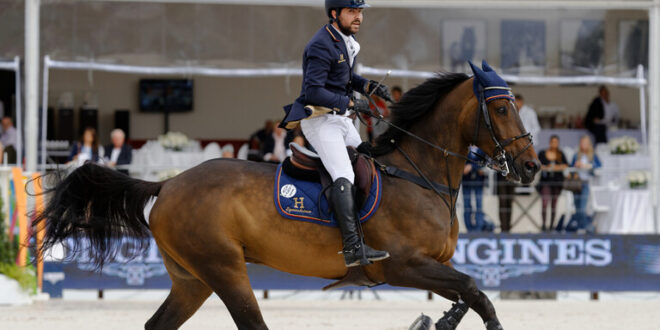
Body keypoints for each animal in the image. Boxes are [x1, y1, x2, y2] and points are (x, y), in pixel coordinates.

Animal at [36, 63, 540, 328]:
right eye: (500, 107)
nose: (533, 167)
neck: (417, 172)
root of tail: (169, 184)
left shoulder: (433, 264)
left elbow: (468, 292)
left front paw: (436, 321)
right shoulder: (402, 265)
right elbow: (475, 291)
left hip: (192, 279)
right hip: (223, 268)